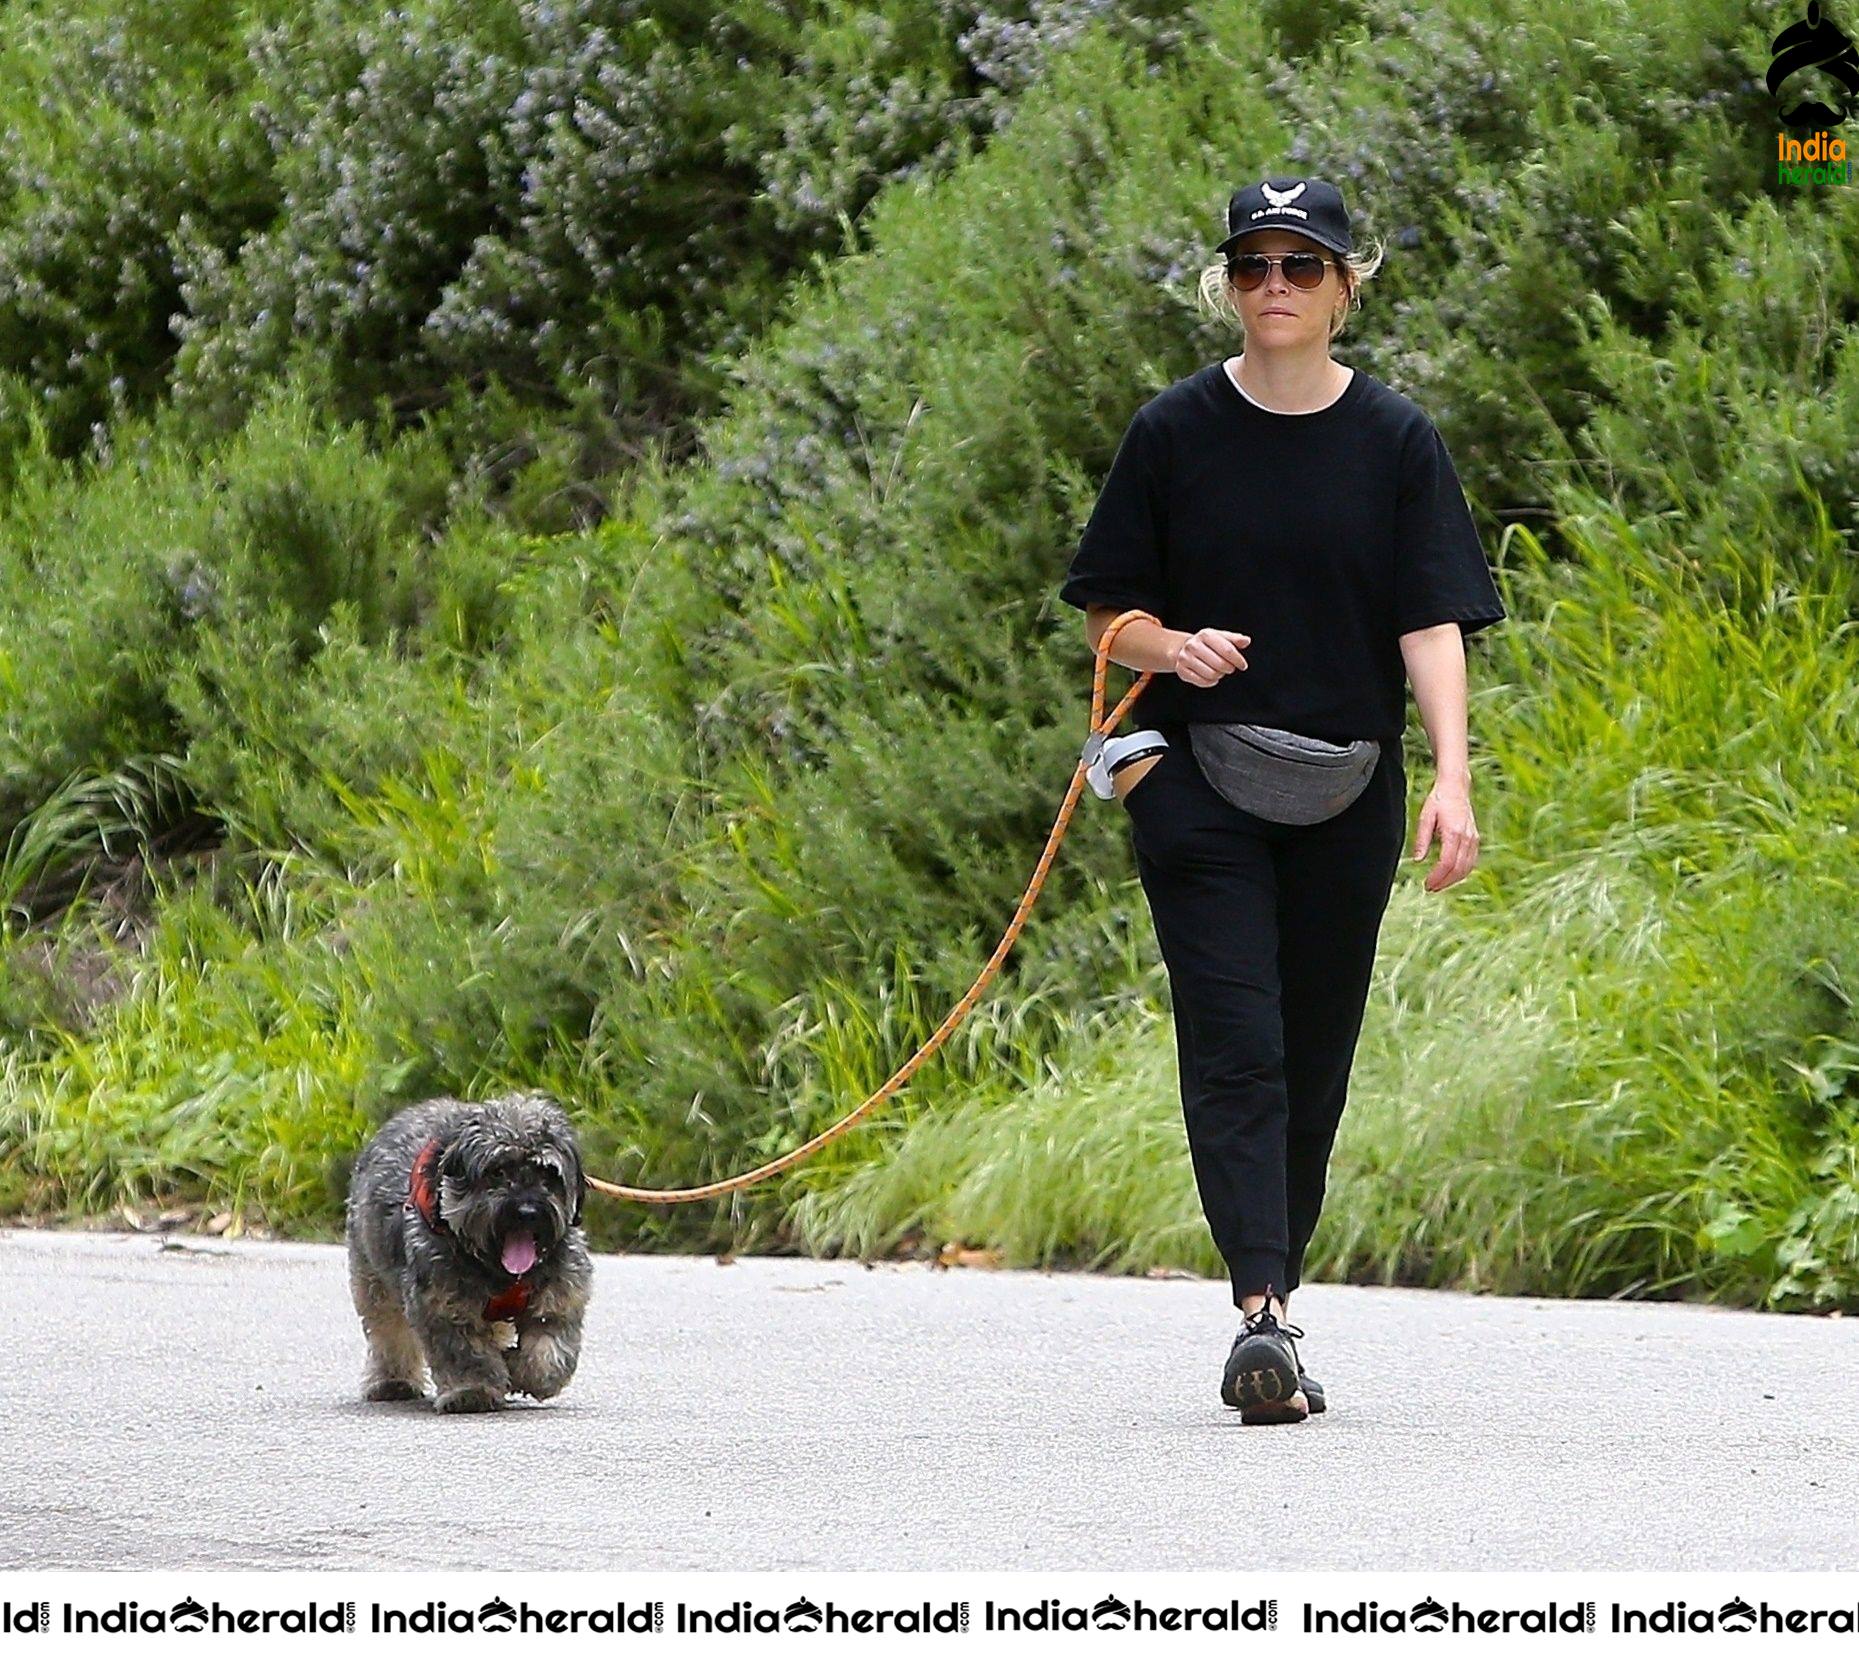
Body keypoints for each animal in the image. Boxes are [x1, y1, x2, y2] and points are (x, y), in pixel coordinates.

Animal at [342, 1085, 587, 1412]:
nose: (527, 1211)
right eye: (497, 1171)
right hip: (373, 1280)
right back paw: (392, 1382)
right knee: (388, 1333)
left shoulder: (561, 1298)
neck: (499, 1271)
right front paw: (472, 1390)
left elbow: (547, 1356)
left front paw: (519, 1371)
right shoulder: (441, 1305)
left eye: (548, 1173)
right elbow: (465, 1354)